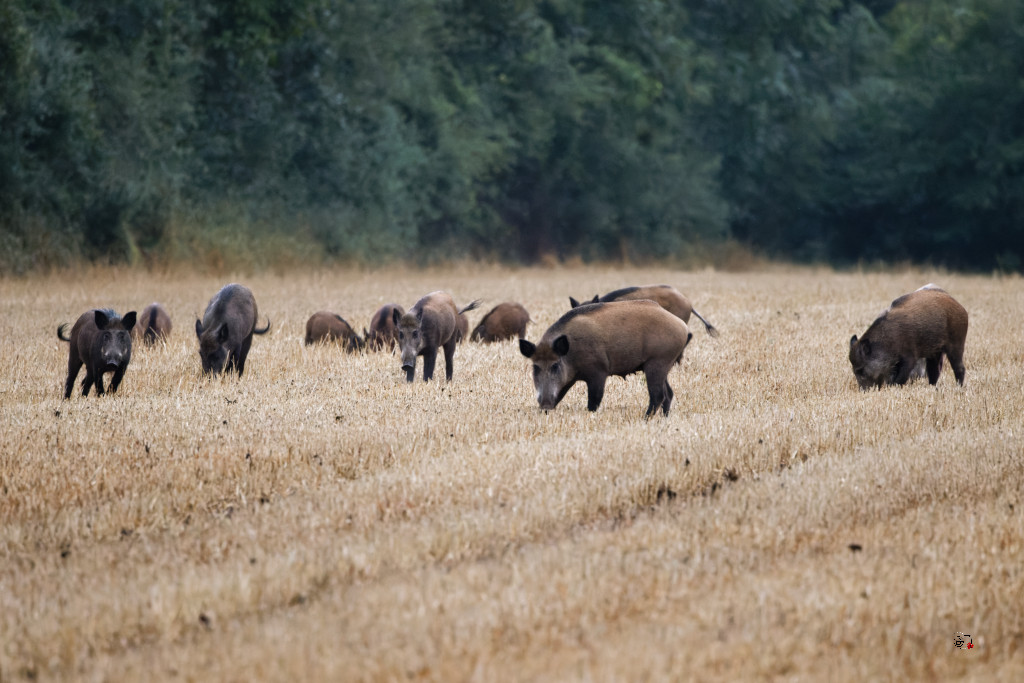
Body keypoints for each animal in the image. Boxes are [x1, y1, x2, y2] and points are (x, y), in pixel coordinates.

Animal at [519, 299, 692, 417]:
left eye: (555, 365)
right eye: (535, 367)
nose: (545, 406)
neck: (571, 354)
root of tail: (683, 327)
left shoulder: (598, 372)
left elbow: (594, 402)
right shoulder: (568, 380)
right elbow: (560, 395)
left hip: (657, 363)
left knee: (658, 395)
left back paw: (644, 419)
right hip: (663, 366)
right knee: (668, 394)